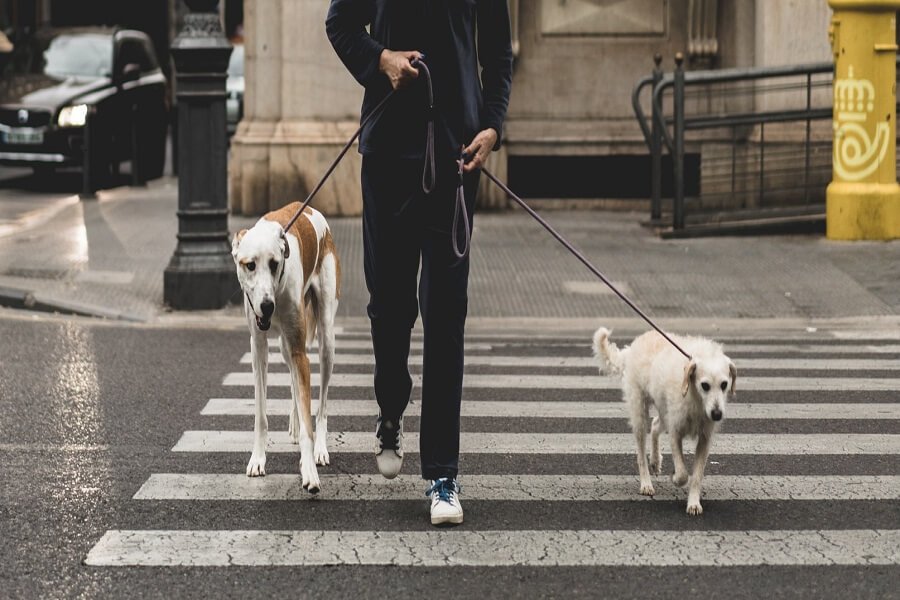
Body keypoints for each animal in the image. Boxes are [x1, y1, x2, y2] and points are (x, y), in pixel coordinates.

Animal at [232, 204, 342, 494]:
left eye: (274, 263)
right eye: (250, 265)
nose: (267, 305)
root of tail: (313, 210)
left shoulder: (299, 349)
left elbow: (308, 425)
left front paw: (310, 471)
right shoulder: (258, 348)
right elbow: (261, 414)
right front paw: (258, 459)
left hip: (326, 337)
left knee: (321, 405)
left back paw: (320, 449)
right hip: (283, 344)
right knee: (294, 381)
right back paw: (293, 420)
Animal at [596, 326, 736, 512]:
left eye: (724, 384)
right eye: (705, 385)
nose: (717, 415)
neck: (696, 399)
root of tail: (633, 347)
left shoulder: (705, 438)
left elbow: (697, 475)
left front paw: (693, 502)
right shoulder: (675, 432)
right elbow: (683, 473)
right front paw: (675, 478)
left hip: (664, 410)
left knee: (655, 425)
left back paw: (655, 461)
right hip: (640, 411)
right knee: (641, 451)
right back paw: (646, 483)